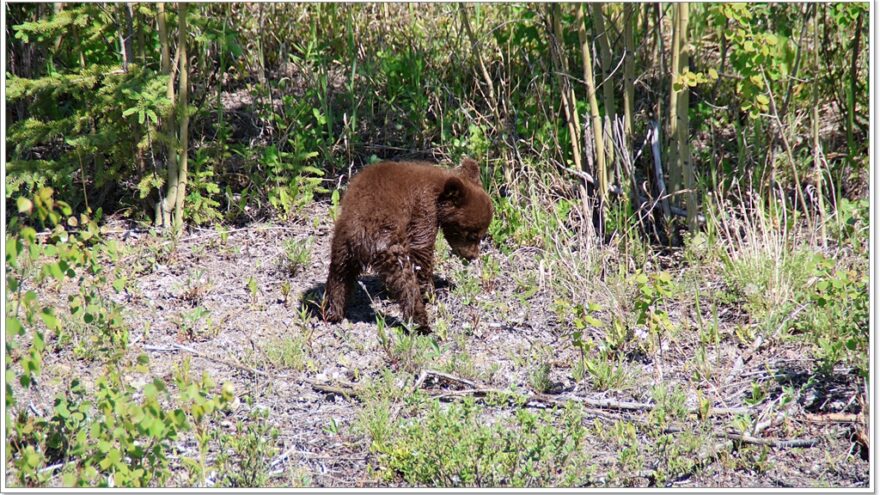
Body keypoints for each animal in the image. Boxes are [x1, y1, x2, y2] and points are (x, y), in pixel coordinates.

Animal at [324, 159, 492, 334]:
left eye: (482, 234)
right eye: (472, 235)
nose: (473, 256)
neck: (438, 192)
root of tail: (361, 237)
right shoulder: (423, 207)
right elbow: (421, 246)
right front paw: (431, 292)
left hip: (342, 246)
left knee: (339, 276)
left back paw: (333, 312)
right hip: (391, 248)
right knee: (406, 284)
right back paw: (422, 324)